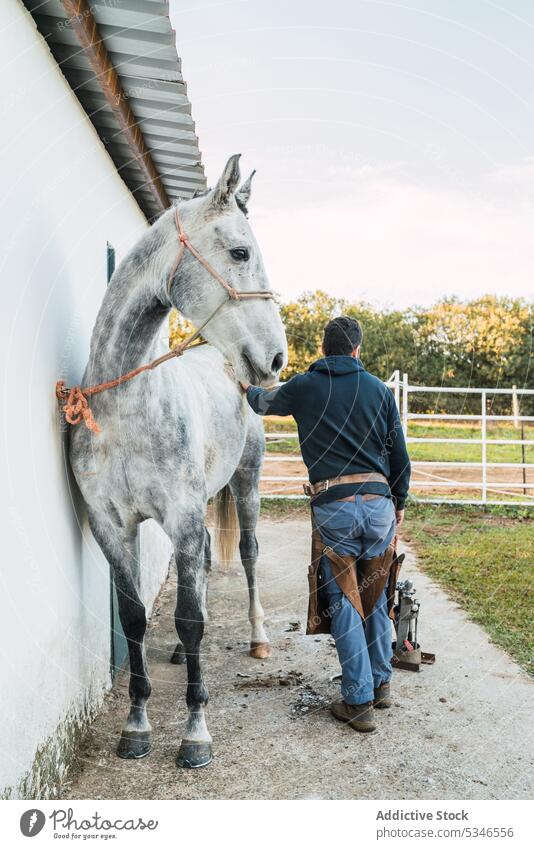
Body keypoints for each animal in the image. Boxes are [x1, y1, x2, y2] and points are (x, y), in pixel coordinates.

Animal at [71, 154, 292, 768]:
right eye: (239, 252)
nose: (276, 359)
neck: (125, 410)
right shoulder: (112, 527)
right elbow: (136, 618)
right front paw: (136, 726)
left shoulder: (186, 519)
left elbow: (189, 620)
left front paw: (196, 732)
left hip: (247, 484)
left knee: (247, 555)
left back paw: (258, 638)